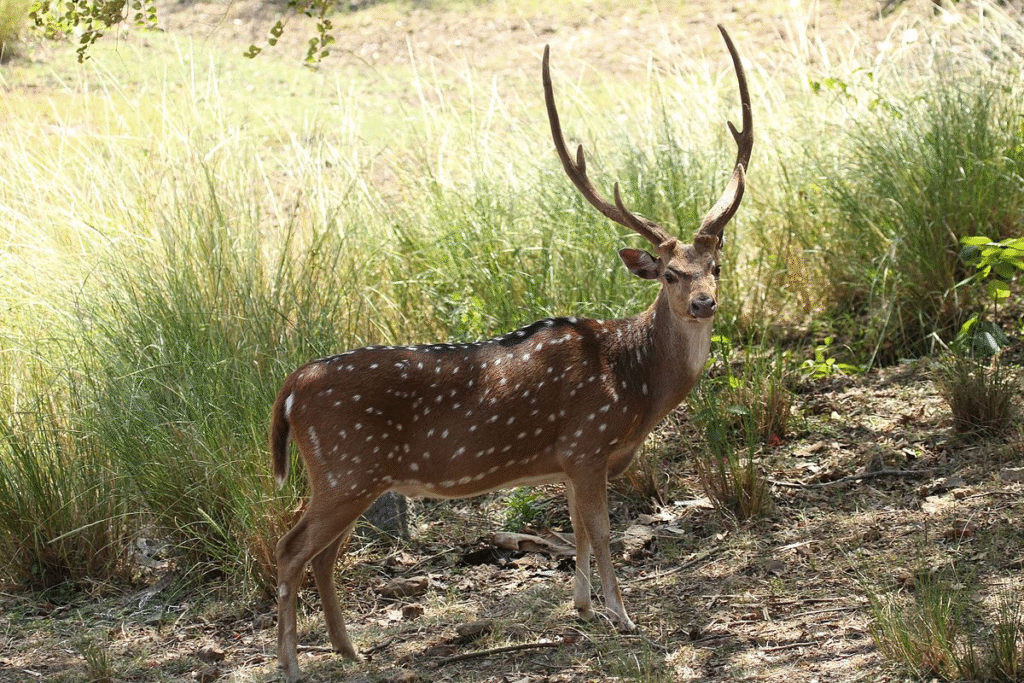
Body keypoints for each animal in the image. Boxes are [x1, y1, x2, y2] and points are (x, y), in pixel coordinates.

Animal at [271, 25, 752, 683]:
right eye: (670, 274)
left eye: (716, 267)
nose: (704, 302)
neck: (634, 382)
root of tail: (291, 385)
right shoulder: (587, 443)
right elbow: (602, 531)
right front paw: (623, 616)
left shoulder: (571, 460)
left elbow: (576, 530)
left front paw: (582, 607)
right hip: (345, 467)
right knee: (290, 549)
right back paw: (292, 664)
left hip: (352, 478)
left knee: (323, 555)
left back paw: (352, 650)